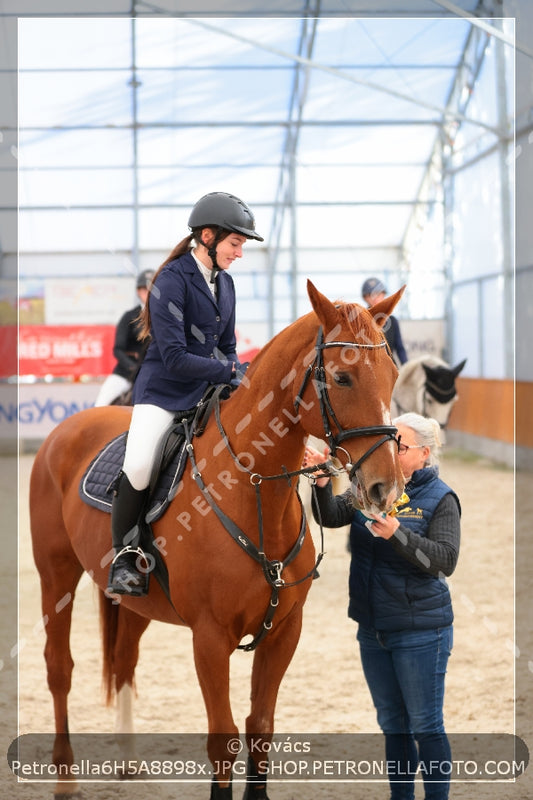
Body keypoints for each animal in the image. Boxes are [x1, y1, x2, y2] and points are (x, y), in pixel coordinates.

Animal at [29, 278, 404, 796]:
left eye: (392, 374)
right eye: (343, 378)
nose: (385, 488)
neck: (256, 493)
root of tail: (67, 428)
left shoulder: (284, 632)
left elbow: (261, 728)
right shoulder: (209, 638)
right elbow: (223, 740)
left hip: (137, 602)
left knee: (124, 659)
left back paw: (127, 761)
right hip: (56, 575)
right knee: (58, 667)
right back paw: (65, 776)